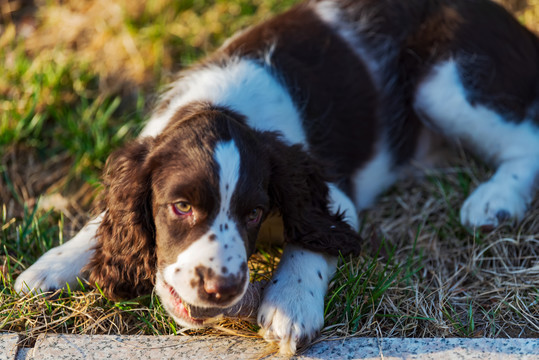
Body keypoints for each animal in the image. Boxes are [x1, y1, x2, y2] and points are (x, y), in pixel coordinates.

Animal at [14, 0, 539, 354]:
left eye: (255, 212)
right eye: (180, 207)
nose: (221, 289)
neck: (222, 106)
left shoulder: (330, 195)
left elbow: (313, 239)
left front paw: (291, 306)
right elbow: (105, 216)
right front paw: (50, 267)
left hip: (445, 81)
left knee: (526, 141)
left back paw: (494, 200)